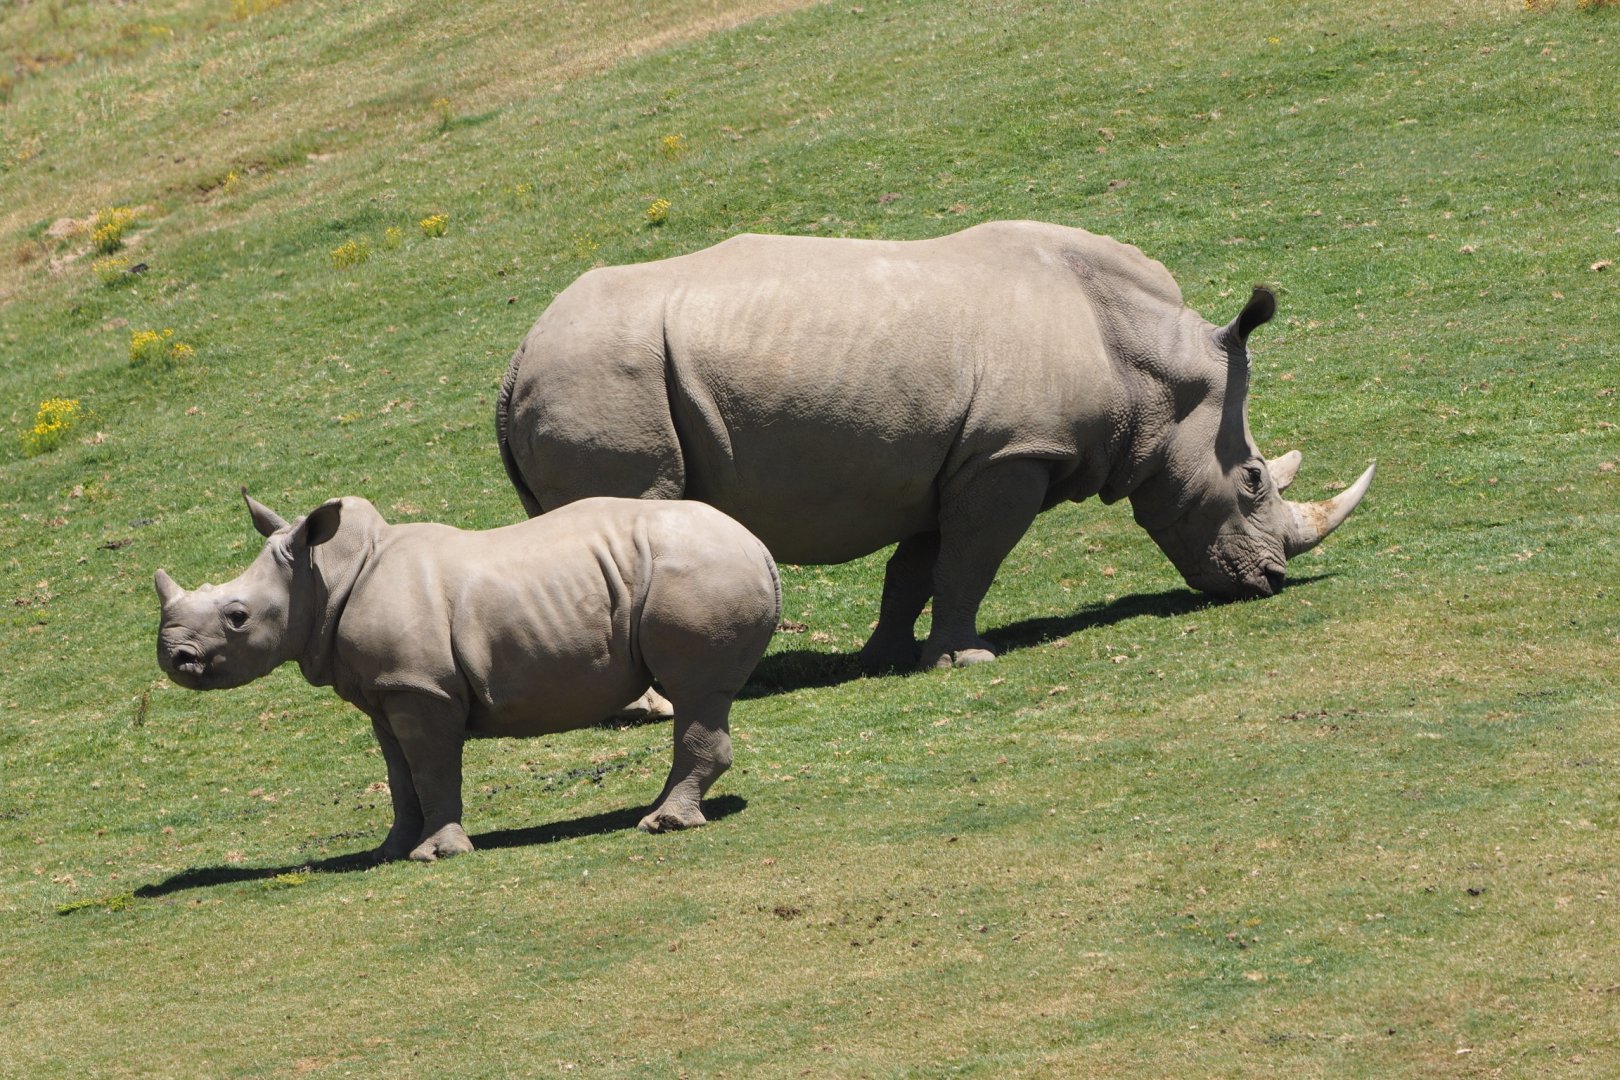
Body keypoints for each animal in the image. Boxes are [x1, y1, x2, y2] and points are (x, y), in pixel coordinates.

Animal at [154, 492, 781, 862]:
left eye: (237, 617)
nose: (174, 657)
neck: (325, 575)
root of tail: (758, 545)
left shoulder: (419, 688)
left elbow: (432, 769)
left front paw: (438, 854)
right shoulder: (387, 688)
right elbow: (400, 776)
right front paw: (390, 851)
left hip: (698, 573)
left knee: (697, 690)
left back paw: (662, 824)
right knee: (701, 696)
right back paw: (656, 812)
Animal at [497, 221, 1374, 671]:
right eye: (1253, 479)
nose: (1268, 581)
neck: (1151, 365)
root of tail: (515, 362)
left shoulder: (943, 458)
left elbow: (915, 566)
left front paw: (886, 659)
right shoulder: (1013, 452)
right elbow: (971, 560)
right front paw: (966, 660)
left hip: (591, 378)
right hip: (605, 380)